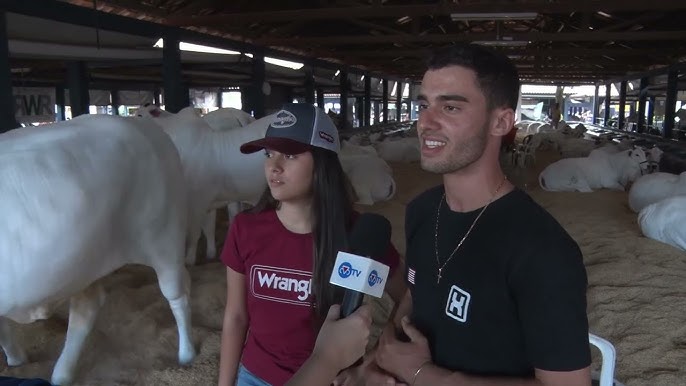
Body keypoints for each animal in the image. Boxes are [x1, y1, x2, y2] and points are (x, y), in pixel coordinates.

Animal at [0, 113, 196, 384]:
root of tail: (143, 126)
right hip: (82, 263)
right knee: (87, 308)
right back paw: (56, 372)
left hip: (164, 237)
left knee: (176, 295)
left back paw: (187, 354)